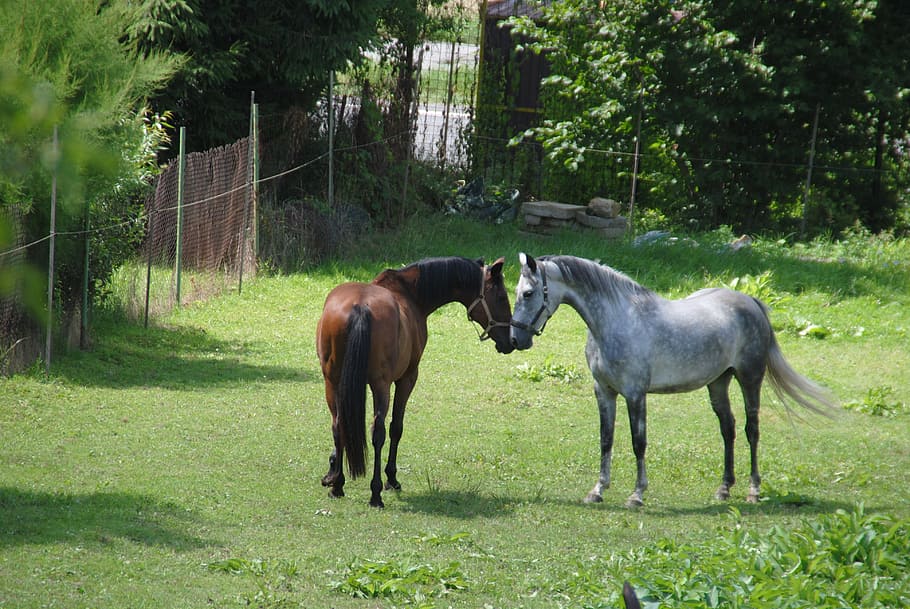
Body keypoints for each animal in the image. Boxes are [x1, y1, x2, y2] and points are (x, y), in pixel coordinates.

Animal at [316, 254, 512, 506]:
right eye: (501, 297)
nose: (511, 340)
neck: (409, 293)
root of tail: (360, 307)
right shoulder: (407, 378)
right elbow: (396, 428)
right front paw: (391, 478)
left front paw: (331, 473)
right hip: (381, 386)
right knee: (378, 432)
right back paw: (376, 492)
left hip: (332, 382)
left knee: (338, 425)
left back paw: (338, 486)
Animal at [510, 254, 836, 506]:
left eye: (528, 293)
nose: (515, 339)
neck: (616, 320)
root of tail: (751, 302)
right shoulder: (604, 392)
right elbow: (606, 439)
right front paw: (598, 490)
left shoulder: (635, 394)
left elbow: (638, 442)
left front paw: (637, 494)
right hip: (718, 382)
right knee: (728, 429)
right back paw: (724, 489)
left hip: (749, 379)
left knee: (751, 430)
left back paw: (753, 491)